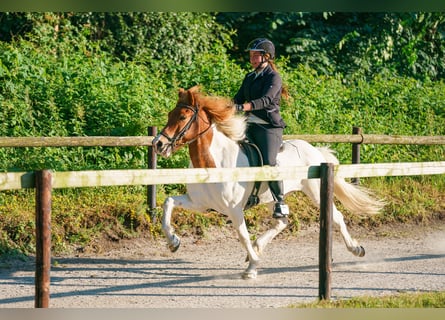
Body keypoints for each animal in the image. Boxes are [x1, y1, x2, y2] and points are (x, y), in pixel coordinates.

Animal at [151, 86, 384, 278]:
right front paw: (173, 241)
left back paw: (356, 249)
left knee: (336, 217)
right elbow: (168, 203)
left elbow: (242, 235)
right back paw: (258, 246)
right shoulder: (200, 203)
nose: (158, 144)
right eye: (170, 115)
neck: (213, 163)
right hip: (275, 197)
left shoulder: (234, 209)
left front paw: (252, 267)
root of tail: (314, 150)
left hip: (316, 192)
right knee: (282, 221)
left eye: (182, 117)